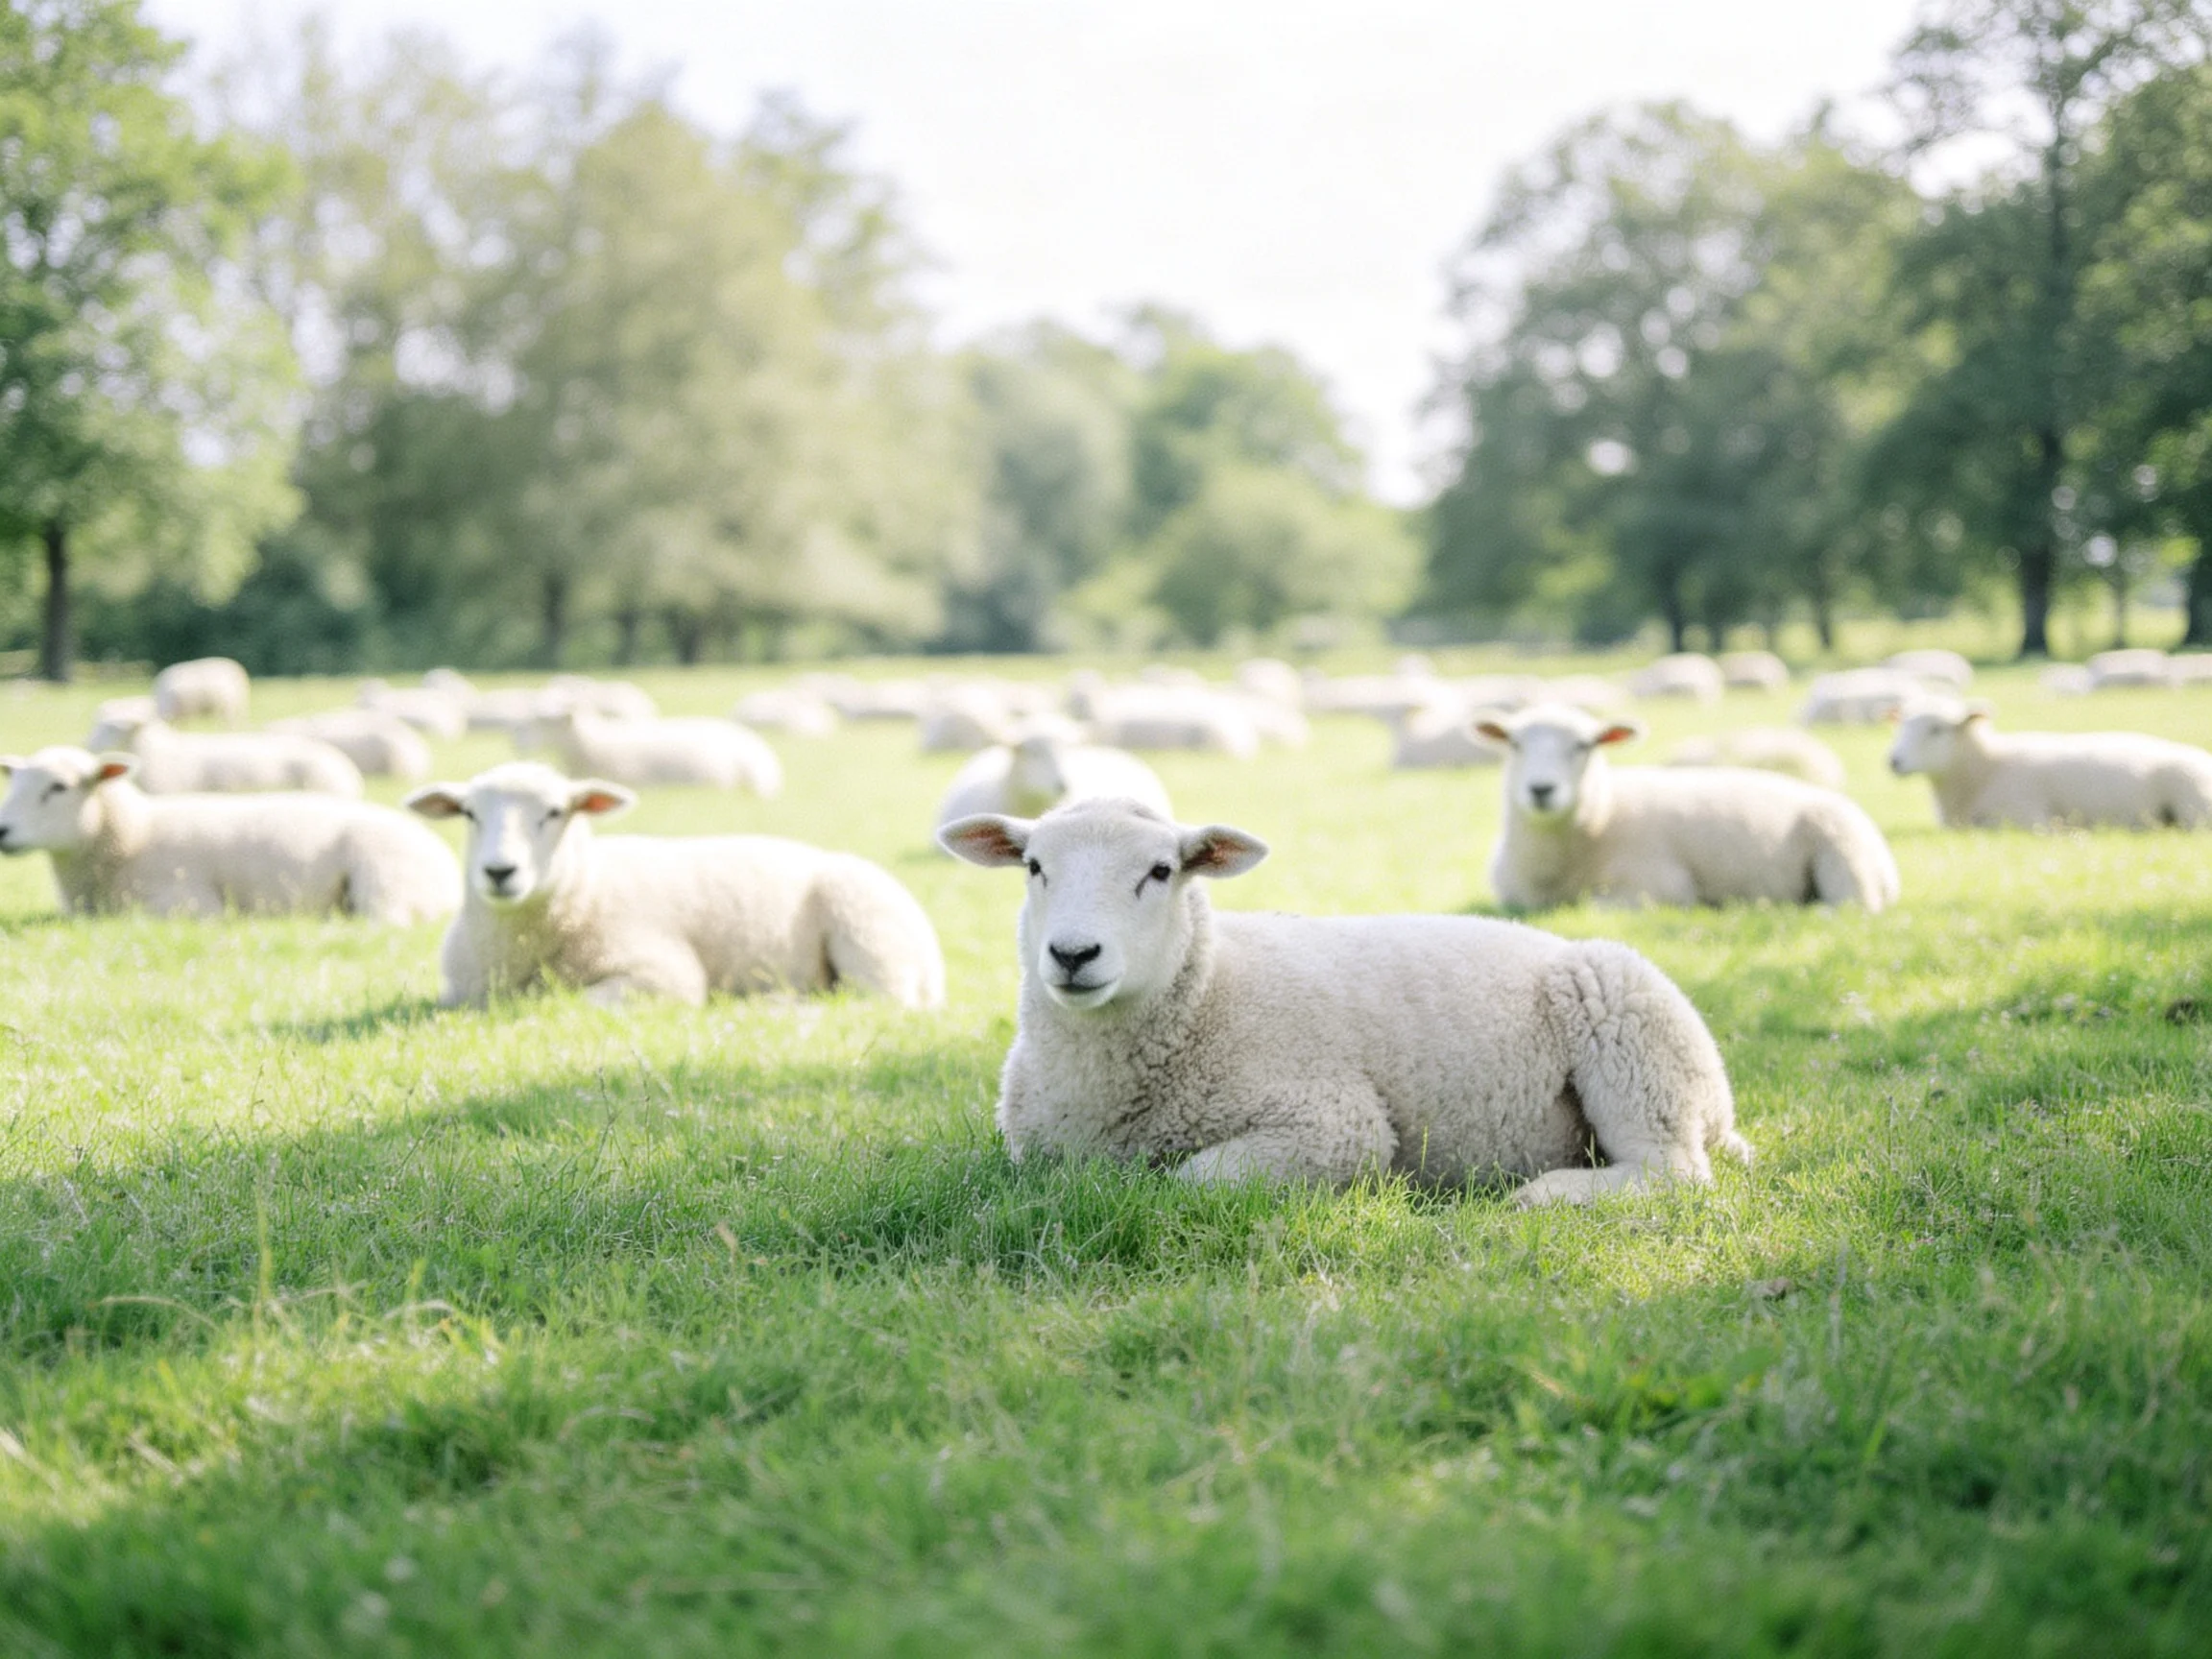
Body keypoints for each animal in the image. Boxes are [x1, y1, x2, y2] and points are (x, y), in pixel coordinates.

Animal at [0, 747, 458, 922]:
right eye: (14, 781)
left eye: (59, 787)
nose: (3, 829)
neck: (134, 834)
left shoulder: (189, 903)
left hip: (384, 883)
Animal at [406, 762, 944, 1008]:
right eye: (469, 814)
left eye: (555, 812)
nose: (499, 872)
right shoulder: (458, 994)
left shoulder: (666, 975)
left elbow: (575, 999)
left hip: (869, 940)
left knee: (871, 999)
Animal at [938, 798, 1748, 1205]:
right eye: (1033, 866)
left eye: (1161, 871)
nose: (1073, 955)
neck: (1209, 995)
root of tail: (1720, 1109)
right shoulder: (1038, 1154)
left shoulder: (1335, 1125)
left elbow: (1190, 1180)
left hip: (1635, 1042)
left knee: (1672, 1174)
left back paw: (1543, 1194)